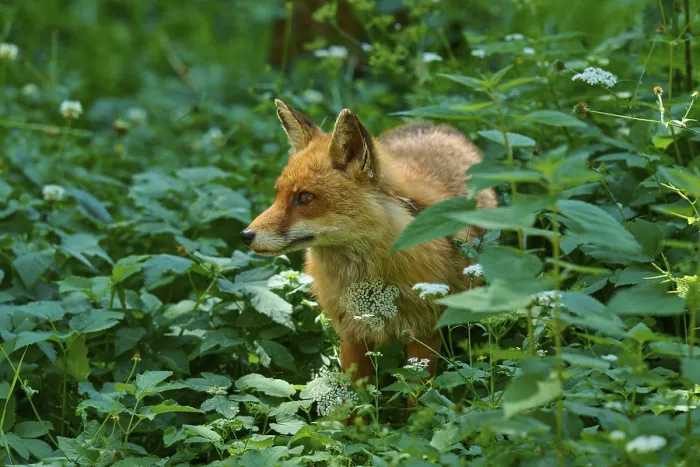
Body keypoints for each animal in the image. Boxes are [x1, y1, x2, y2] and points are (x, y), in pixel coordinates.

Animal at [241, 99, 497, 383]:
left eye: (305, 197)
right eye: (278, 194)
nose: (246, 236)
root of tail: (432, 125)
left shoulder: (426, 332)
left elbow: (418, 392)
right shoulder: (351, 333)